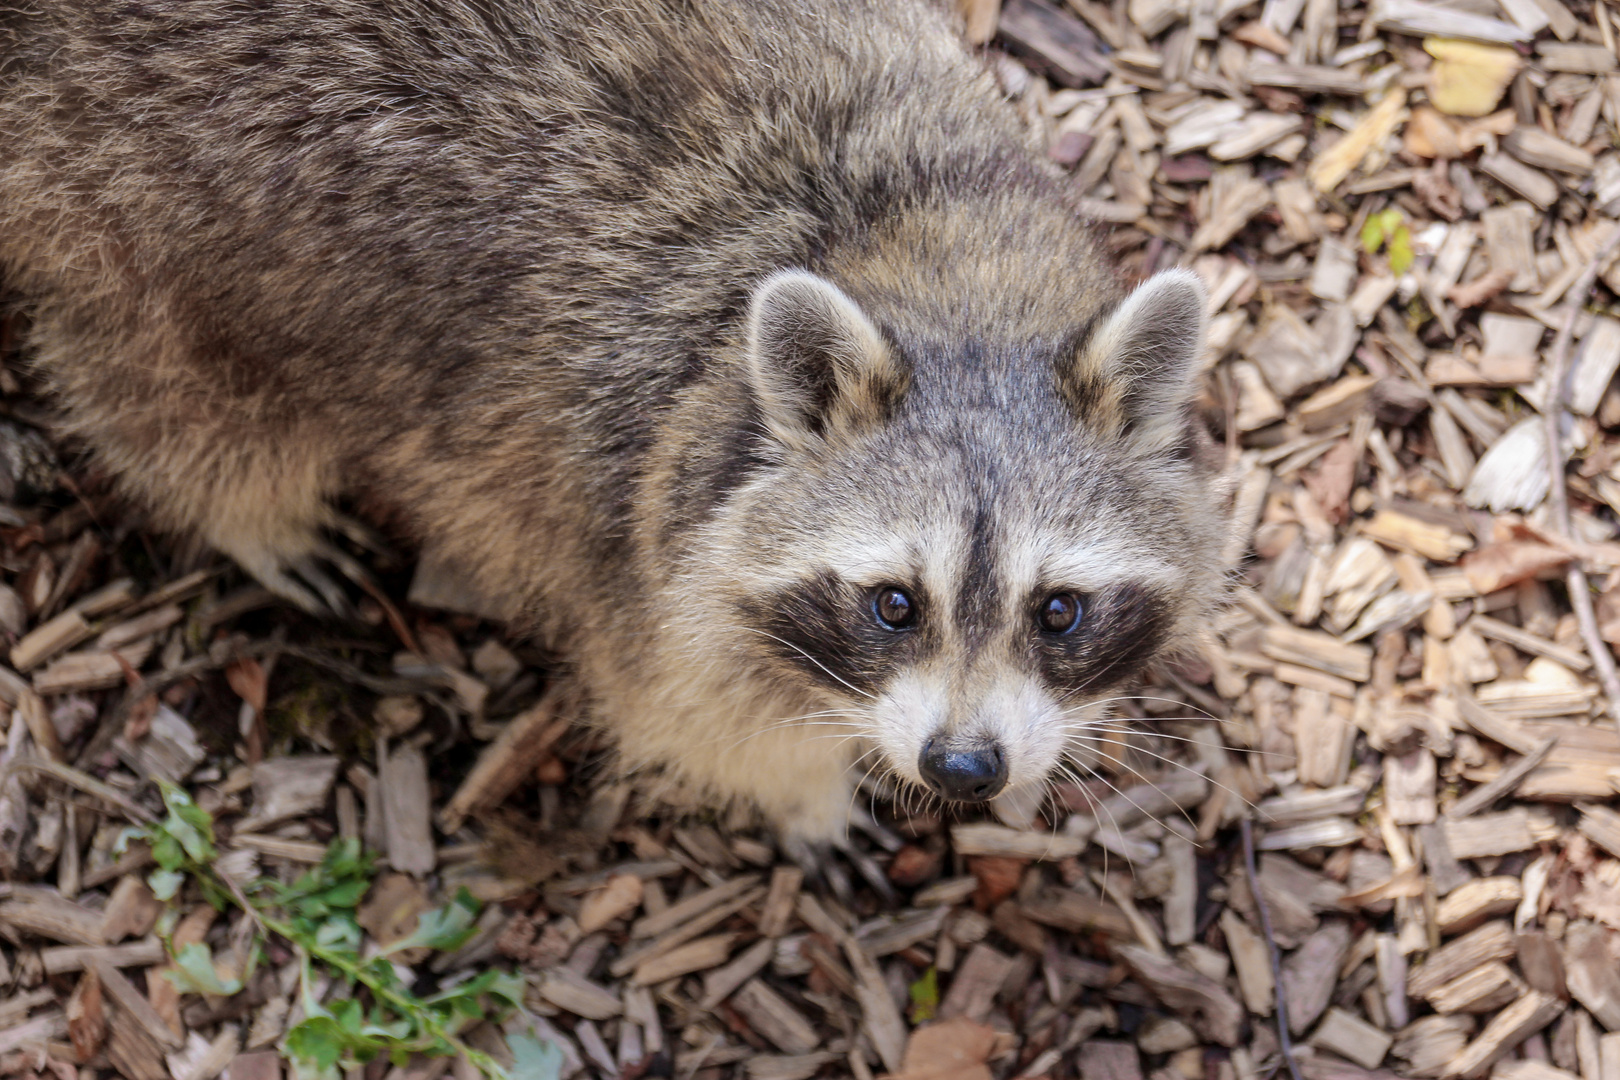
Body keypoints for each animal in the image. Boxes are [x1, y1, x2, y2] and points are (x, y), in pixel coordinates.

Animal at [0, 0, 1224, 841]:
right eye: (892, 603)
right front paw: (809, 791)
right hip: (130, 203)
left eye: (1058, 610)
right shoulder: (641, 528)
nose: (963, 772)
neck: (931, 267)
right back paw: (248, 512)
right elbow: (690, 713)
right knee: (173, 389)